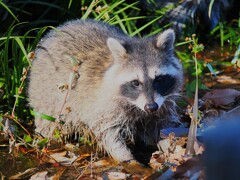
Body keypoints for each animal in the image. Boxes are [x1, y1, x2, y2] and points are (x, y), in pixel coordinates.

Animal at [27, 19, 183, 162]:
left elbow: (162, 127)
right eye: (135, 83)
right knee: (48, 125)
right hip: (45, 96)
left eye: (159, 79)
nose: (151, 107)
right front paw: (126, 158)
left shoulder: (162, 104)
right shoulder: (103, 104)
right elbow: (107, 132)